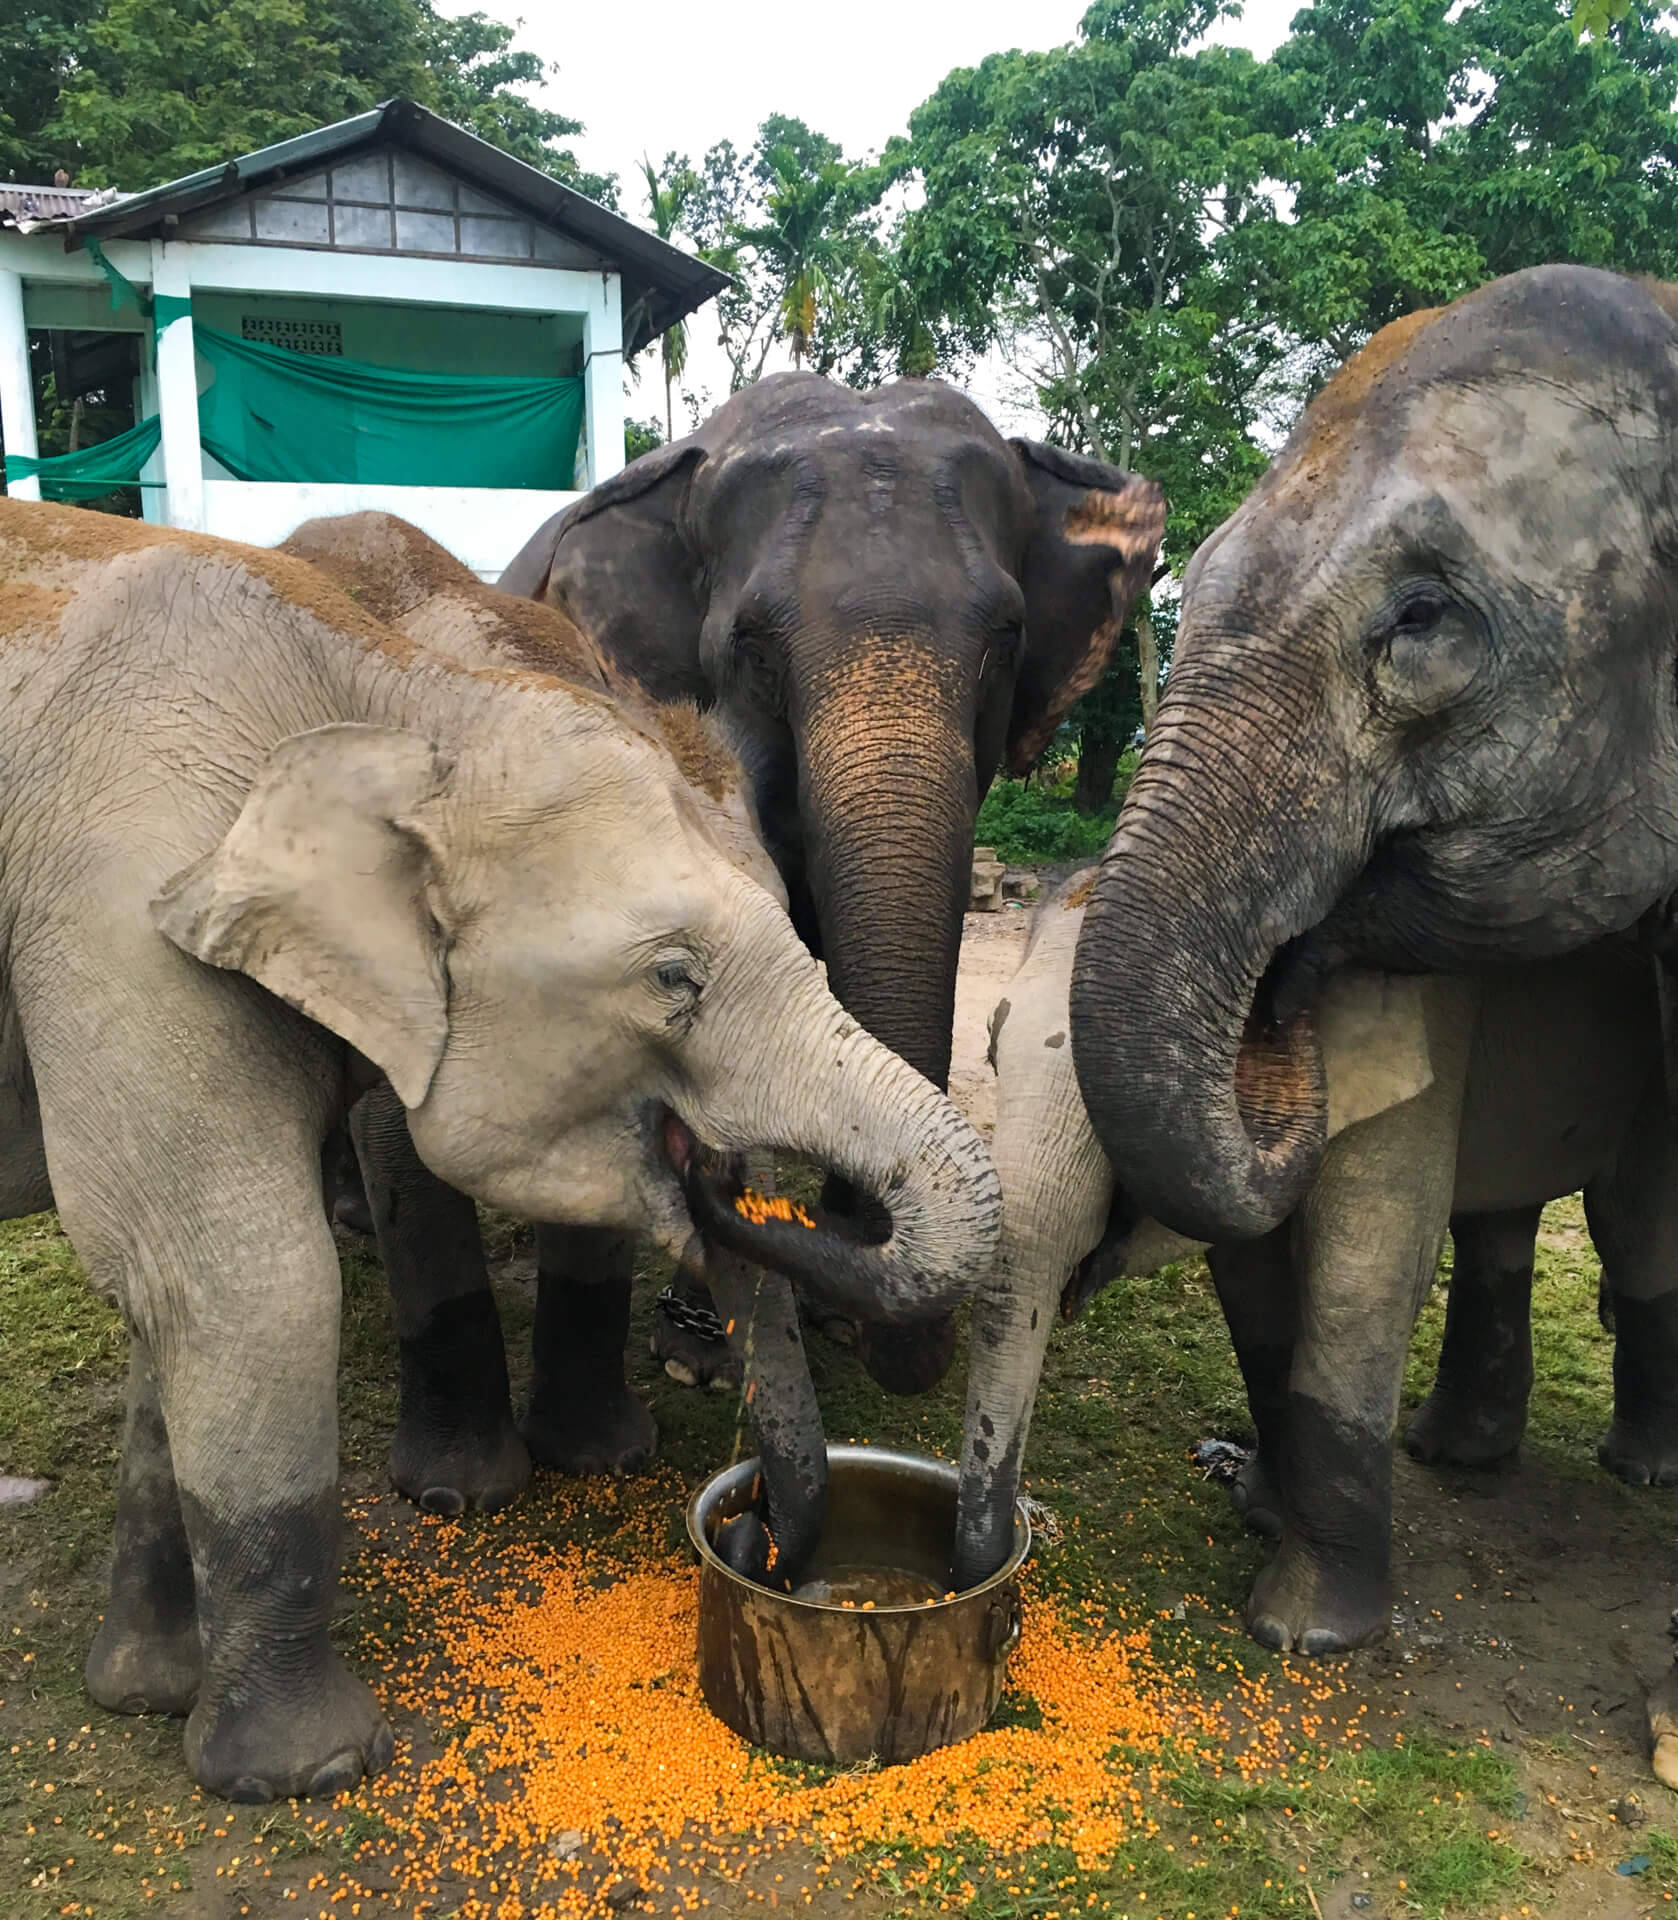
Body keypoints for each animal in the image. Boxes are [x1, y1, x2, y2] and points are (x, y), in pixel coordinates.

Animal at [0, 503, 990, 1804]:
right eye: (674, 978)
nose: (756, 1535)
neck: (396, 697)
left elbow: (159, 1291)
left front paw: (144, 1696)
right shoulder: (117, 913)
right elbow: (239, 1277)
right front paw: (307, 1768)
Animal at [1067, 266, 1678, 1766]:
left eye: (1420, 618)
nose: (1278, 990)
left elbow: (1369, 1241)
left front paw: (1303, 1637)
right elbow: (1274, 1244)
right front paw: (1270, 1522)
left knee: (1635, 1222)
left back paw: (1635, 1469)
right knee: (1500, 1226)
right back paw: (1460, 1456)